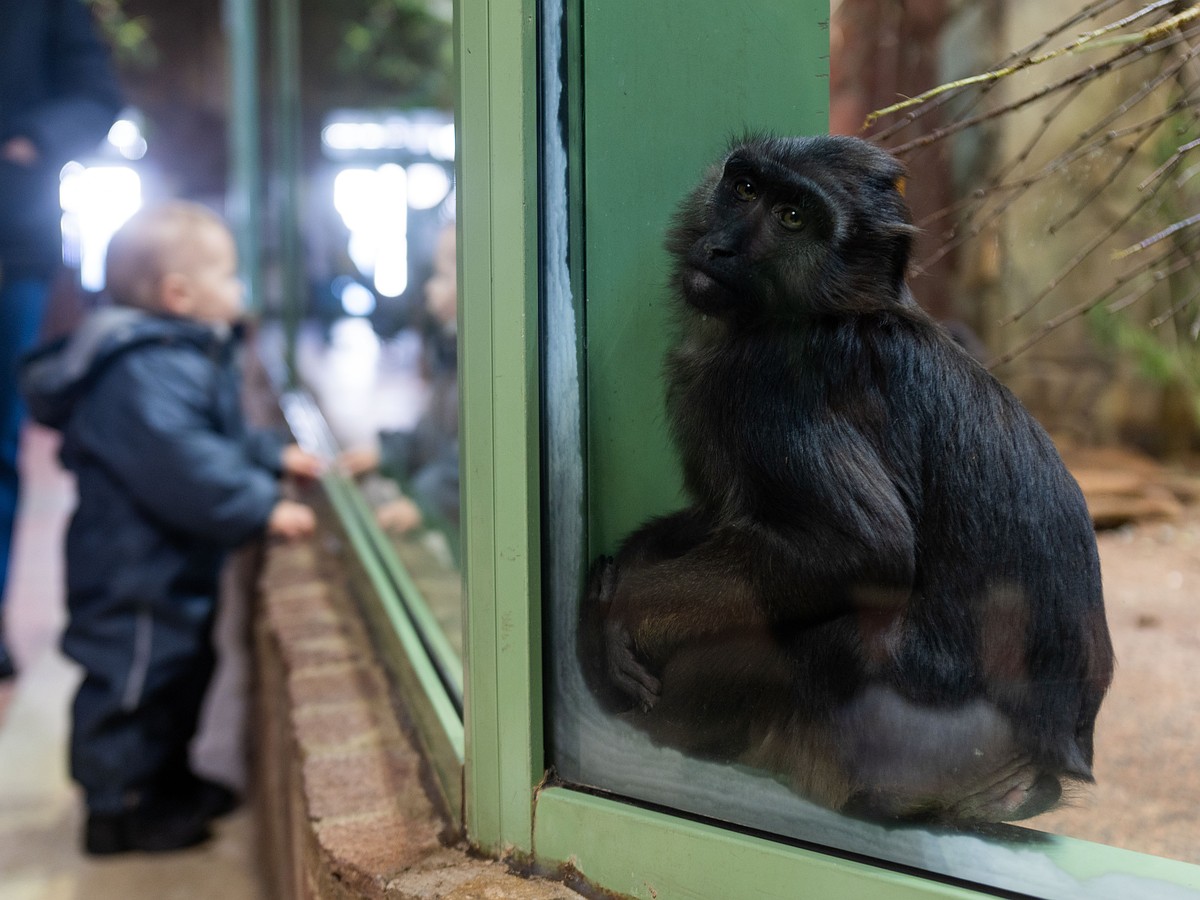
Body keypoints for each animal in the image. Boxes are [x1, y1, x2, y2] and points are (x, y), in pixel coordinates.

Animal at [585, 133, 1108, 825]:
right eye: (745, 188)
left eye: (793, 218)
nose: (720, 247)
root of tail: (1045, 755)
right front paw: (631, 563)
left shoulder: (769, 385)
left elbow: (864, 552)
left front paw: (621, 610)